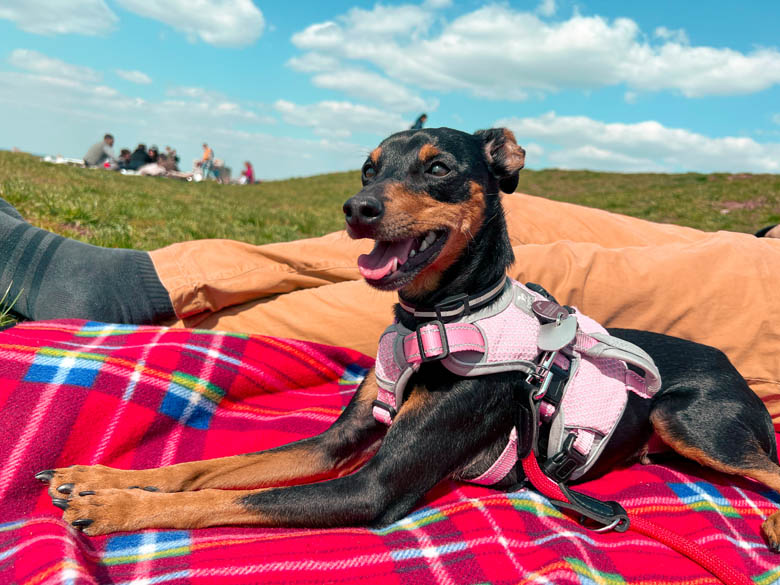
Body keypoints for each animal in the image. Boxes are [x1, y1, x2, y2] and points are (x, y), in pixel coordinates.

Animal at [39, 125, 780, 548]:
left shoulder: (375, 485)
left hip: (689, 416)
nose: (356, 209)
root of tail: (728, 364)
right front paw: (97, 477)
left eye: (437, 169)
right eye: (367, 168)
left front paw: (112, 507)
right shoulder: (336, 442)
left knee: (767, 469)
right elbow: (205, 471)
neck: (438, 317)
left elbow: (227, 499)